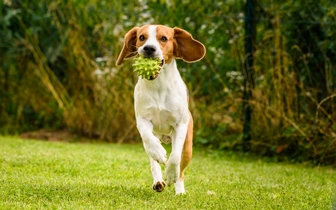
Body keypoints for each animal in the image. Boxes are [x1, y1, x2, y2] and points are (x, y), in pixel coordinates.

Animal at [115, 24, 205, 194]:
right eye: (141, 37)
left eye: (163, 38)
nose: (149, 48)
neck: (158, 85)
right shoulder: (142, 120)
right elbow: (148, 139)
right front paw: (159, 153)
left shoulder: (180, 125)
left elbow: (175, 157)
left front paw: (170, 175)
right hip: (150, 141)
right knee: (153, 159)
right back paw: (158, 181)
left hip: (188, 147)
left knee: (181, 168)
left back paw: (179, 190)